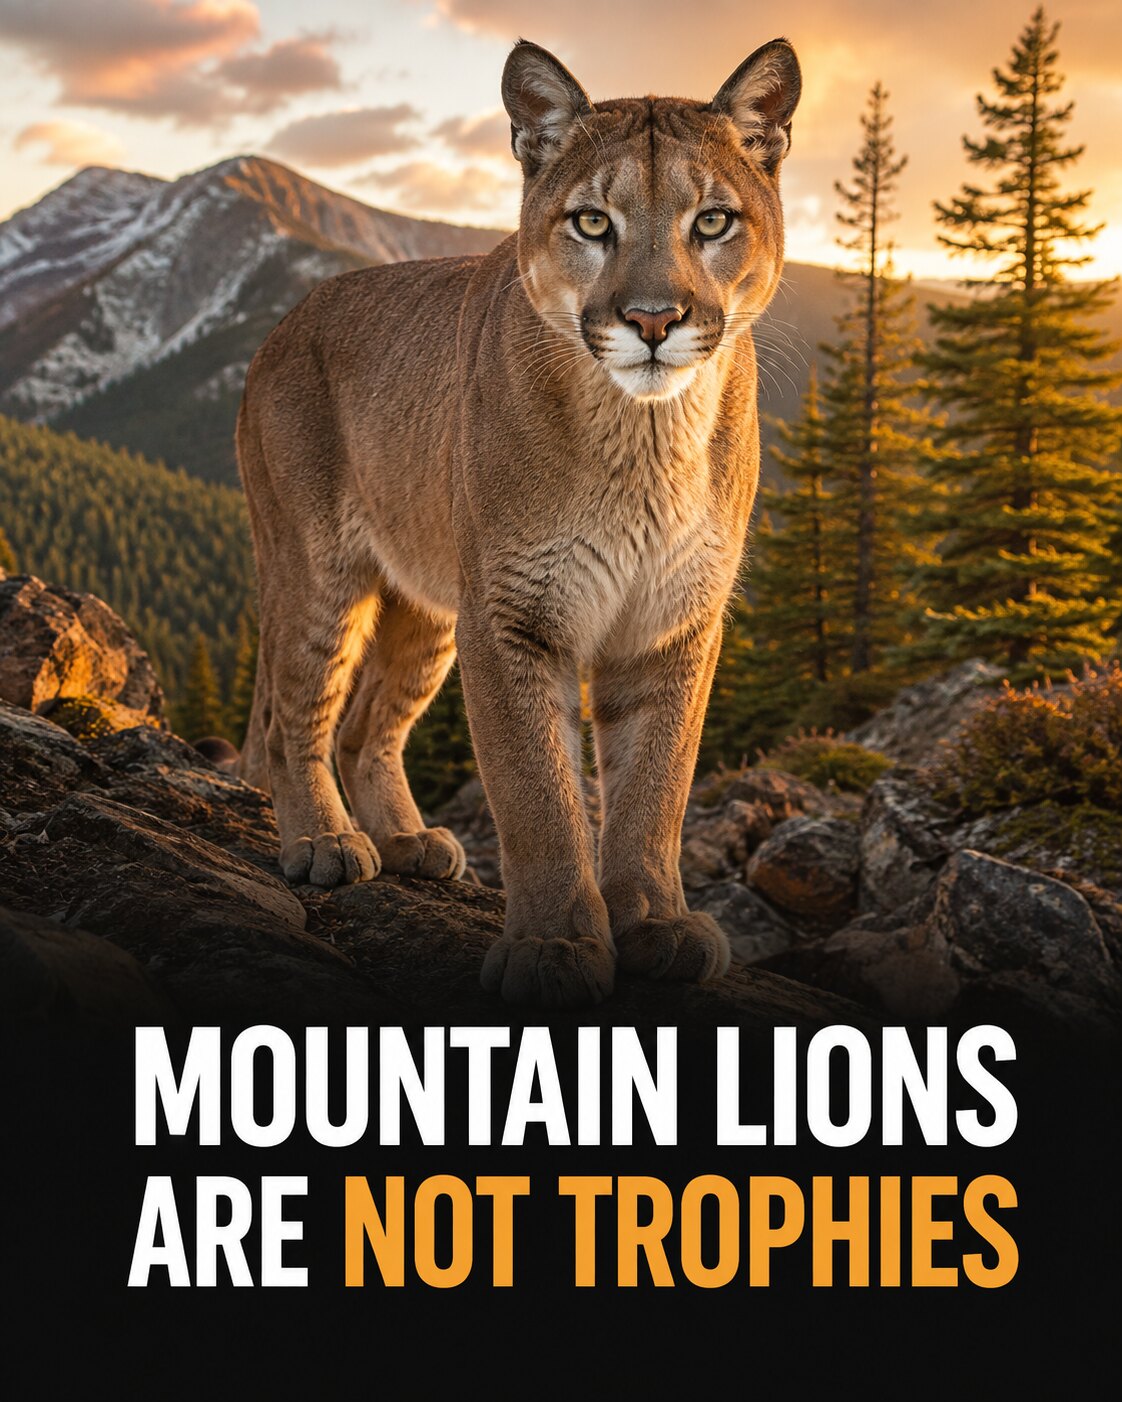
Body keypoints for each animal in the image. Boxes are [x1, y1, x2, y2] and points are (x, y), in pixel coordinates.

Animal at [236, 37, 802, 1006]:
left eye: (714, 221)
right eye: (591, 223)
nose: (653, 318)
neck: (644, 440)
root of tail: (284, 322)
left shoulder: (671, 621)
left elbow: (655, 785)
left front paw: (655, 921)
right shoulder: (513, 618)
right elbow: (538, 793)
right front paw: (556, 945)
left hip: (428, 606)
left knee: (367, 726)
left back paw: (407, 841)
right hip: (316, 571)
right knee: (293, 714)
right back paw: (324, 843)